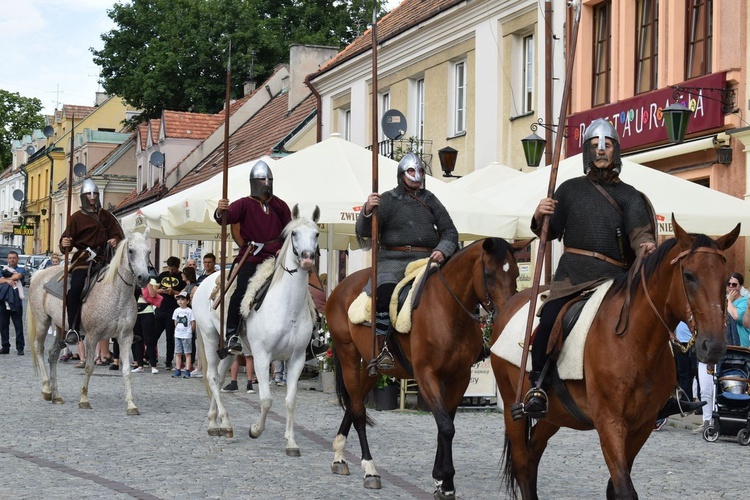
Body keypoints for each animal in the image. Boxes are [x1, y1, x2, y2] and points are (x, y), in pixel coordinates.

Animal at [28, 230, 152, 414]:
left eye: (149, 252)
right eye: (131, 251)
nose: (144, 278)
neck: (116, 293)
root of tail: (39, 274)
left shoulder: (125, 337)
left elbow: (126, 370)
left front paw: (131, 405)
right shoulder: (92, 337)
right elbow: (89, 367)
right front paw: (84, 400)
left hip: (60, 326)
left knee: (53, 354)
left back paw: (56, 395)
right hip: (43, 321)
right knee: (39, 348)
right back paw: (46, 389)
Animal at [195, 205, 318, 456]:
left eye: (317, 234)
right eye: (294, 233)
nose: (308, 259)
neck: (288, 305)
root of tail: (203, 282)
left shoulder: (297, 359)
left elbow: (290, 401)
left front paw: (291, 442)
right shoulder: (262, 356)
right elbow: (267, 400)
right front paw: (255, 430)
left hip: (232, 352)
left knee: (220, 378)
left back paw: (216, 423)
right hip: (210, 337)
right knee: (212, 376)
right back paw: (224, 422)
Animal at [328, 239, 528, 500]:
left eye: (515, 274)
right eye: (489, 274)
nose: (507, 314)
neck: (447, 310)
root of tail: (341, 287)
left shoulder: (459, 378)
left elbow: (446, 424)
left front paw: (440, 479)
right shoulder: (426, 376)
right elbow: (446, 426)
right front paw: (447, 482)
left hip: (374, 369)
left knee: (354, 403)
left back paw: (339, 455)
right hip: (348, 355)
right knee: (359, 411)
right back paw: (369, 469)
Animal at [490, 219, 744, 500]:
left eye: (726, 281)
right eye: (689, 275)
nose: (714, 346)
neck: (635, 343)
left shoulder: (642, 425)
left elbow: (615, 486)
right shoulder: (609, 423)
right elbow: (624, 488)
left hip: (556, 414)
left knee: (533, 453)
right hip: (512, 404)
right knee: (523, 463)